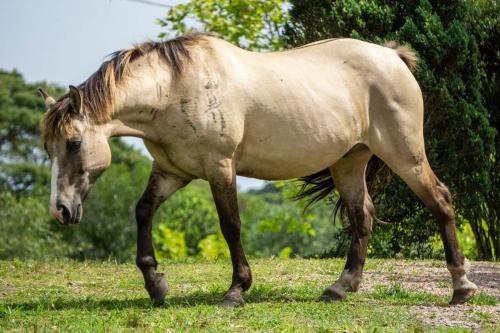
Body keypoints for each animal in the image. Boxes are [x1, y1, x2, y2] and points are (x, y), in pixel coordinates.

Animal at [38, 32, 476, 308]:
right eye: (47, 148)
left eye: (73, 143)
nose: (60, 210)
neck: (175, 88)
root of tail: (392, 57)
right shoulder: (171, 171)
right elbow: (143, 211)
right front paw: (156, 285)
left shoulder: (220, 167)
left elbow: (230, 226)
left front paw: (236, 290)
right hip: (349, 162)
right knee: (362, 216)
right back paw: (341, 287)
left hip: (405, 154)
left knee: (440, 201)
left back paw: (461, 286)